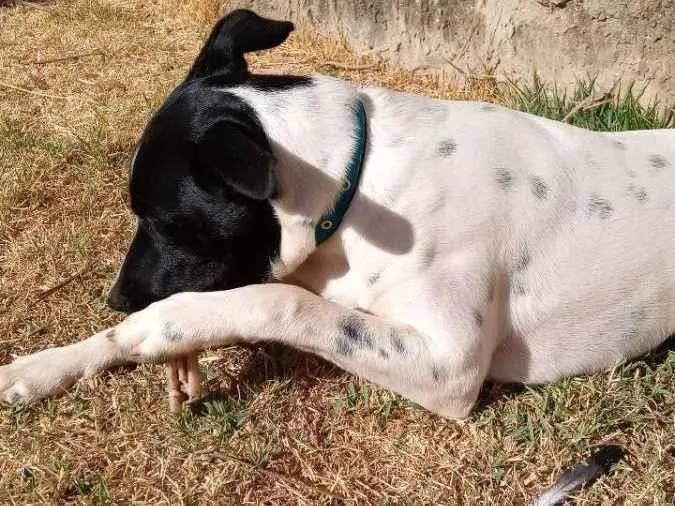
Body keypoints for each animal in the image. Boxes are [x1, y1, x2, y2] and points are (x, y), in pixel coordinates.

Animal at [1, 6, 675, 498]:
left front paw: (171, 325)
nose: (118, 297)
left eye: (164, 221)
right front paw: (46, 365)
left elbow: (279, 302)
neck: (362, 180)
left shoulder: (449, 363)